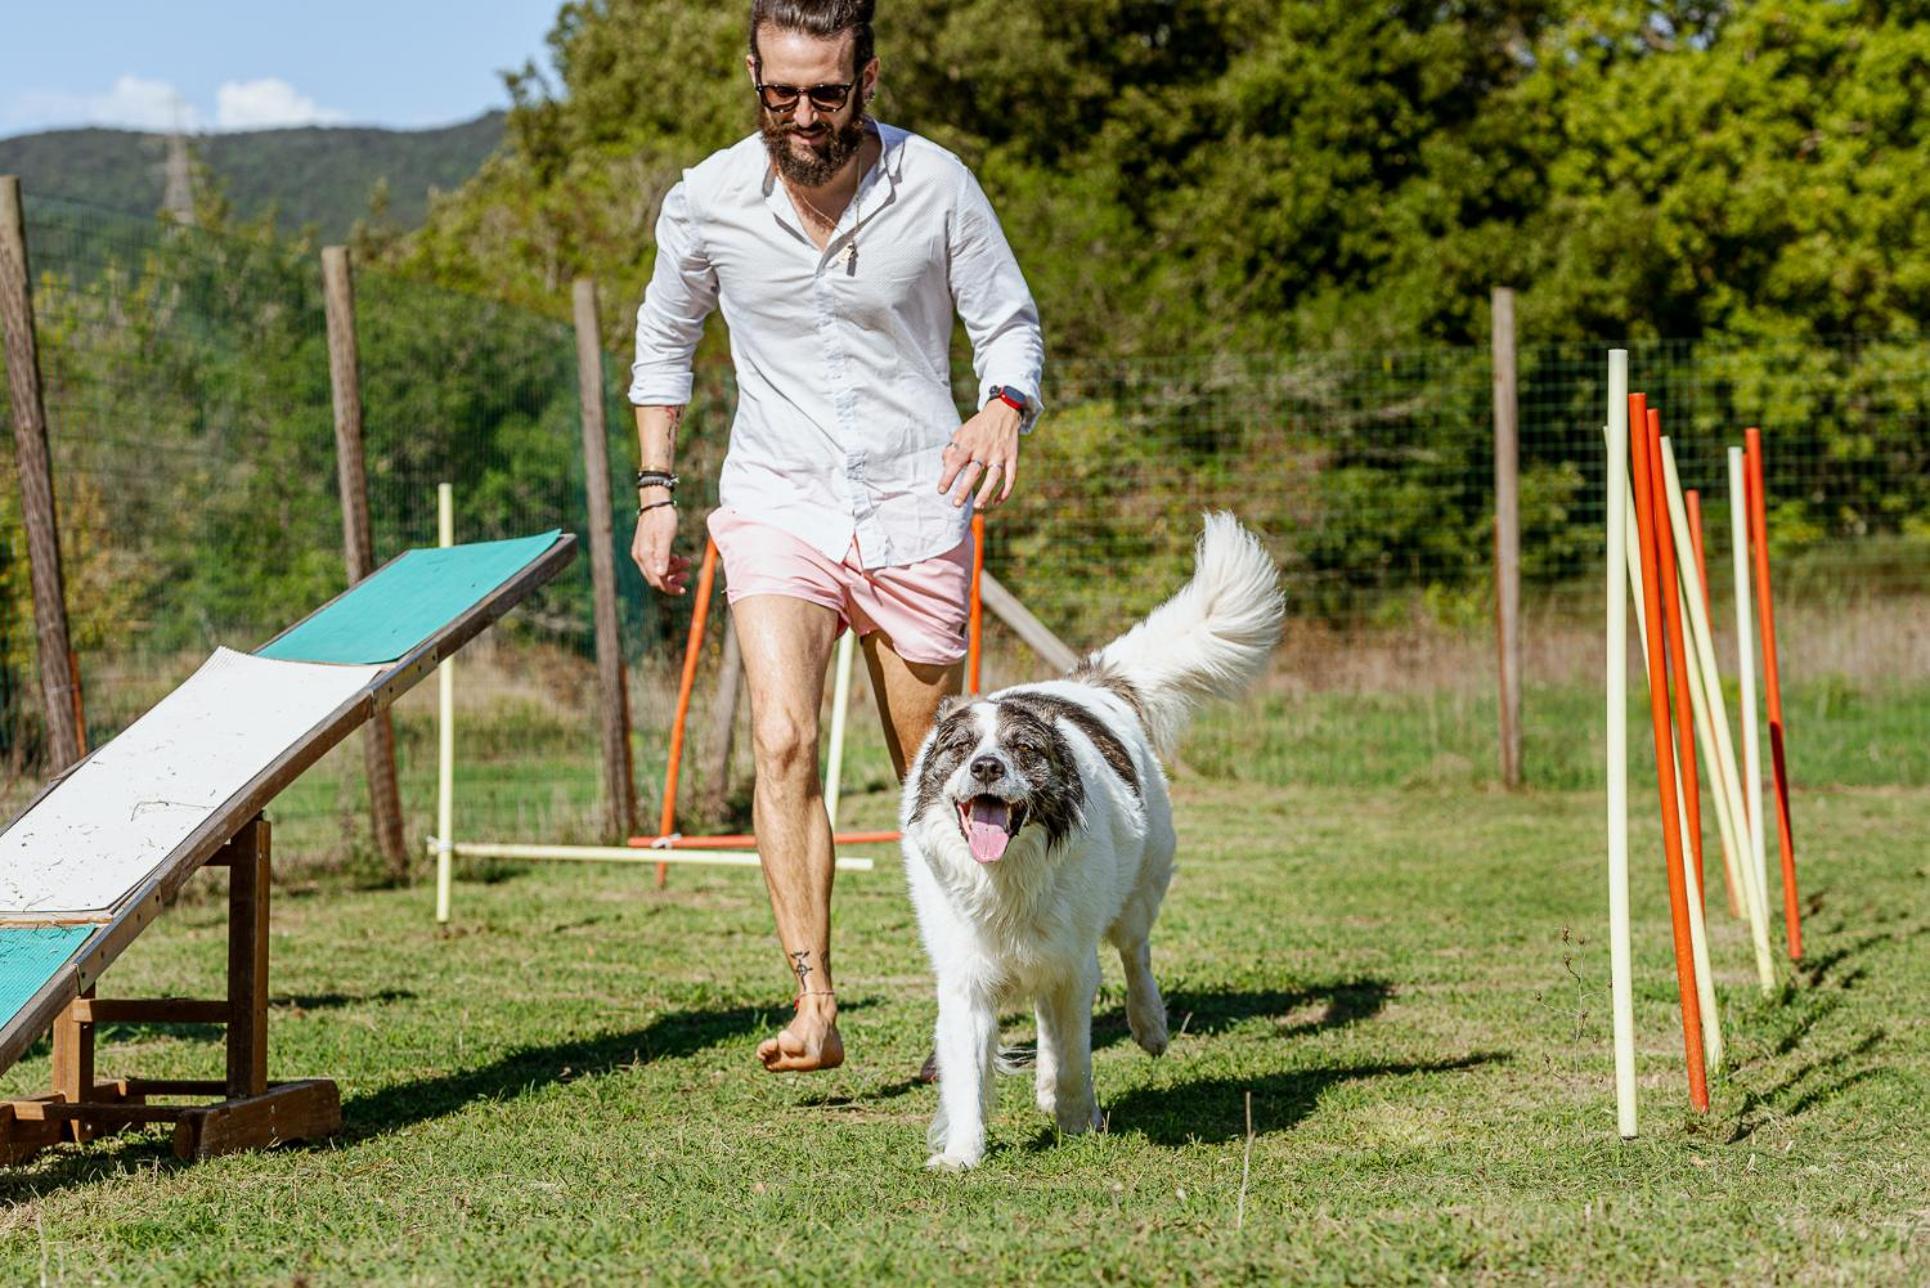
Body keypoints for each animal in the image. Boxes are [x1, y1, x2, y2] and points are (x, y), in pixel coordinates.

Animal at [899, 513, 1281, 1166]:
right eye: (960, 747)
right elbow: (967, 1073)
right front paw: (963, 1153)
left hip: (1140, 890)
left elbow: (1077, 1054)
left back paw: (1148, 1027)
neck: (1008, 879)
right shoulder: (967, 976)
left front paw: (1078, 1119)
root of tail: (1089, 684)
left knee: (1135, 952)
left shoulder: (1075, 966)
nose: (986, 767)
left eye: (1023, 749)